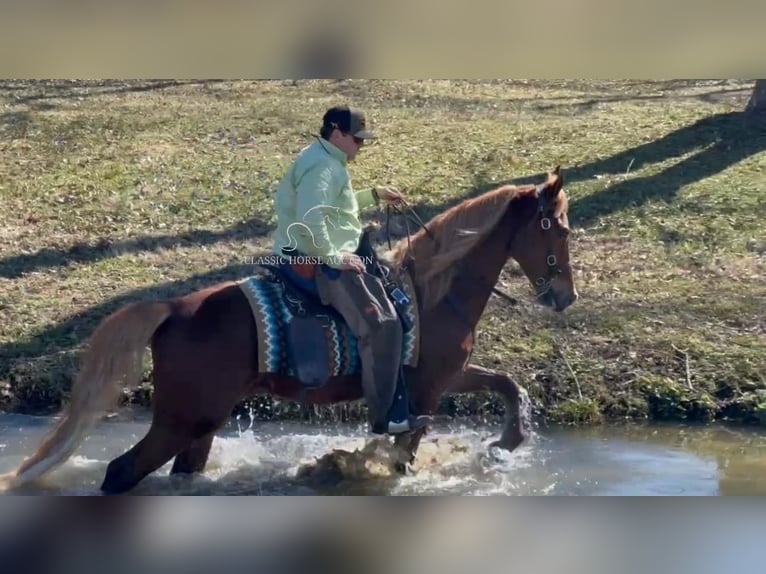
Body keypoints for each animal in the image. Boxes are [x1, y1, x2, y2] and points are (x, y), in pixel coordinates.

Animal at [0, 166, 576, 496]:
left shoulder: (445, 376)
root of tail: (173, 307)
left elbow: (507, 385)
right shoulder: (426, 391)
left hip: (200, 422)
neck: (436, 292)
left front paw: (508, 441)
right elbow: (403, 450)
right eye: (561, 229)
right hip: (182, 419)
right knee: (121, 472)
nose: (565, 296)